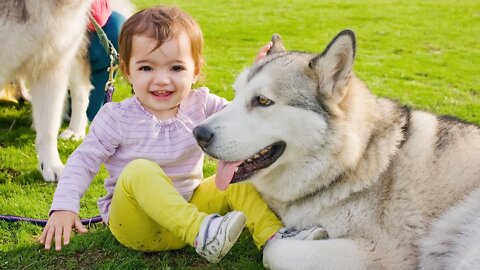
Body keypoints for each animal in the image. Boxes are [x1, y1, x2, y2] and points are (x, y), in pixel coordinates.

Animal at [194, 30, 480, 270]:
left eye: (262, 100)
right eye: (235, 94)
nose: (198, 134)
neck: (357, 160)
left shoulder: (382, 253)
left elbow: (273, 250)